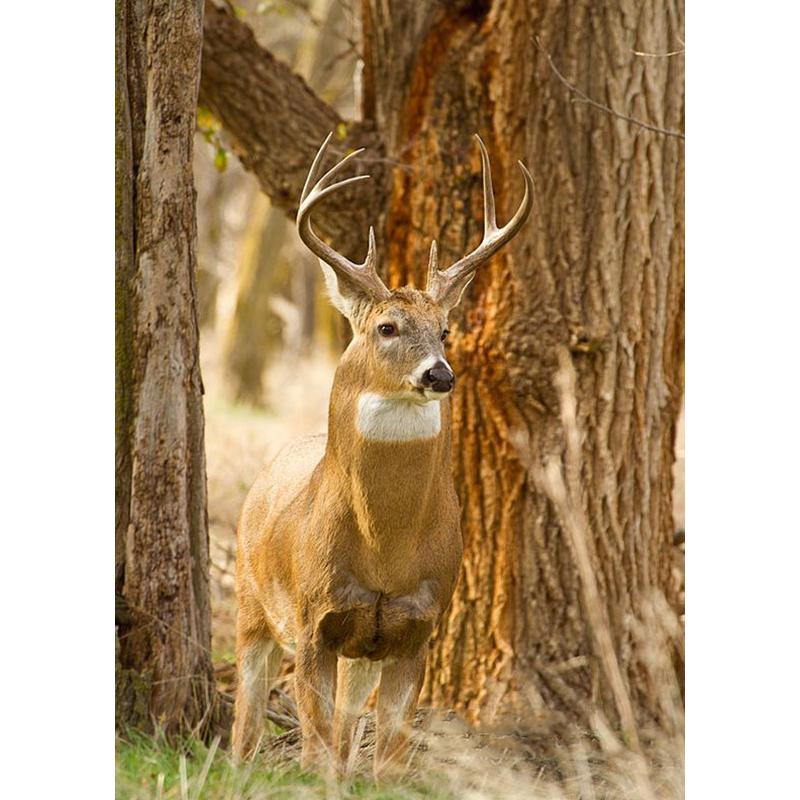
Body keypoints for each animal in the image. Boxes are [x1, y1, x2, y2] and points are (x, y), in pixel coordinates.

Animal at [231, 132, 533, 777]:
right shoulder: (313, 620)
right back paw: (239, 767)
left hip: (355, 651)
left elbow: (387, 754)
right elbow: (316, 748)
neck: (384, 552)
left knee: (348, 728)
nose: (440, 374)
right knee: (247, 715)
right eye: (387, 327)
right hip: (251, 603)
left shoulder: (416, 627)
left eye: (445, 330)